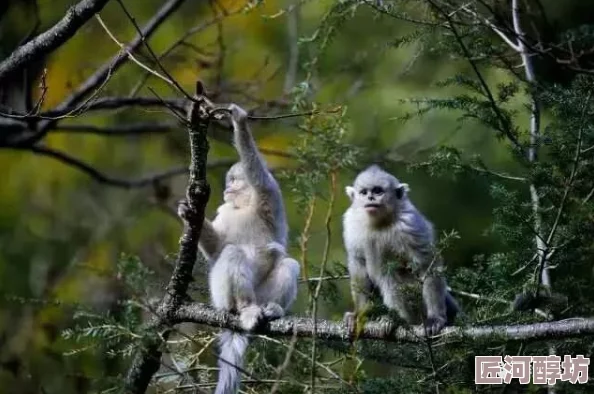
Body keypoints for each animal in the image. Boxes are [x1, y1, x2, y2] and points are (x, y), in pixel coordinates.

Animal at [179, 103, 300, 392]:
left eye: (234, 180)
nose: (227, 188)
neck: (244, 206)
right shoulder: (225, 211)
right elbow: (217, 248)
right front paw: (191, 216)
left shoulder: (269, 192)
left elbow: (259, 175)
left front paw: (240, 121)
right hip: (221, 297)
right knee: (232, 253)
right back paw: (244, 309)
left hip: (261, 292)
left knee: (288, 264)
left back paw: (269, 310)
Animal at [338, 165, 458, 336]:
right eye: (364, 192)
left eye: (378, 191)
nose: (370, 198)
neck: (378, 224)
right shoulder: (351, 223)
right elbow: (358, 265)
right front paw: (358, 315)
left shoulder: (410, 224)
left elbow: (427, 264)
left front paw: (436, 318)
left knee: (392, 275)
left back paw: (398, 320)